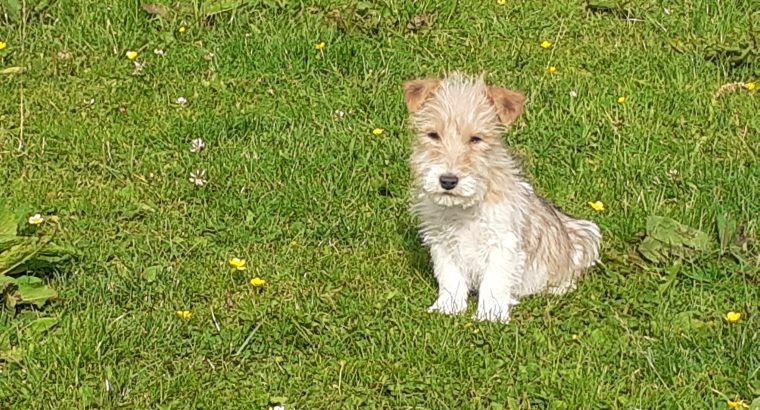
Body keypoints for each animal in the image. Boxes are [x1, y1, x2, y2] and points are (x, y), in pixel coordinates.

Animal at [404, 73, 600, 324]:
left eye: (476, 139)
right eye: (433, 135)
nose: (448, 180)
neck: (463, 208)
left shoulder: (502, 243)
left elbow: (493, 282)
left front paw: (490, 315)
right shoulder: (442, 242)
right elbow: (450, 278)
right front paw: (448, 308)